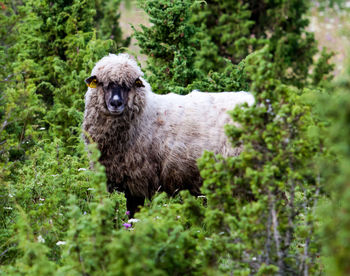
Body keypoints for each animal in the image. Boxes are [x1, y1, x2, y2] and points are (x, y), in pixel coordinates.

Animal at [83, 54, 256, 217]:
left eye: (128, 86)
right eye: (103, 84)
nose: (116, 103)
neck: (145, 114)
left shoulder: (138, 180)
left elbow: (133, 214)